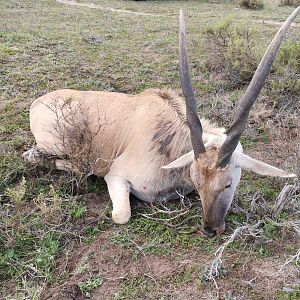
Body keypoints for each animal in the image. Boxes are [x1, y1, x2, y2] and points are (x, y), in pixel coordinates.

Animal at [24, 7, 300, 237]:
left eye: (228, 183)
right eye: (198, 182)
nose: (210, 229)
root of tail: (37, 103)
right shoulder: (115, 177)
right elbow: (121, 215)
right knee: (36, 157)